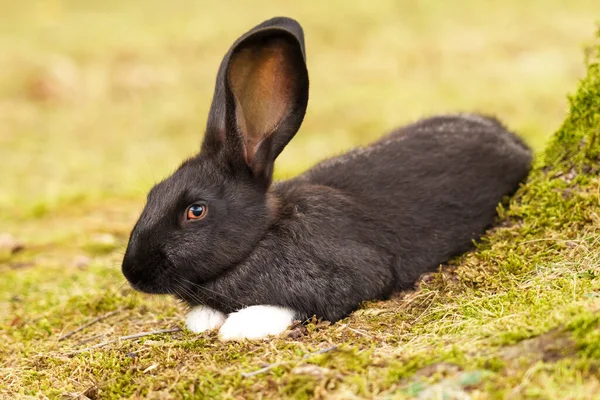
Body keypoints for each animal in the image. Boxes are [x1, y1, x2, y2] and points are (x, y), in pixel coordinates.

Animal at [120, 16, 528, 340]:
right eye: (152, 194)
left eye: (196, 210)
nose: (131, 272)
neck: (263, 236)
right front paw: (203, 319)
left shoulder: (350, 276)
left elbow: (298, 304)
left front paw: (241, 326)